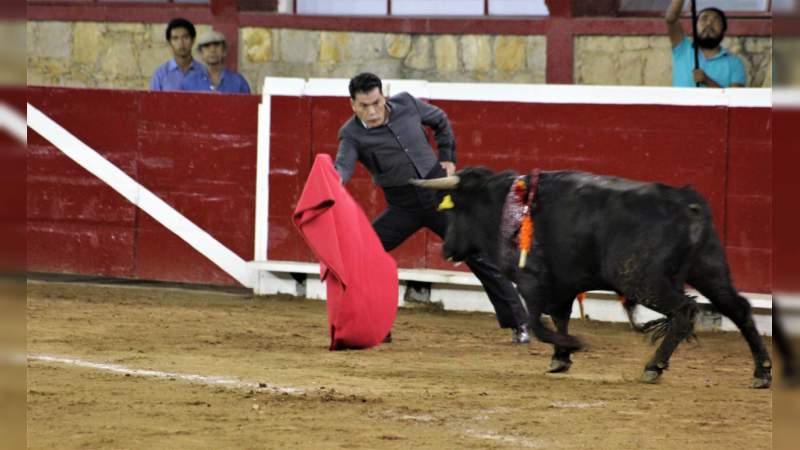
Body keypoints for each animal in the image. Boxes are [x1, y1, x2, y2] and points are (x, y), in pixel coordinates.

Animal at [412, 167, 768, 388]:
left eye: (453, 209)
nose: (446, 249)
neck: (504, 207)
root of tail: (687, 202)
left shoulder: (531, 281)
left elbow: (538, 323)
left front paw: (572, 346)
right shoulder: (563, 286)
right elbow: (559, 318)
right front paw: (561, 358)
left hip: (640, 279)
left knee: (684, 310)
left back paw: (654, 366)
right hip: (709, 269)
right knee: (738, 309)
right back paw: (762, 372)